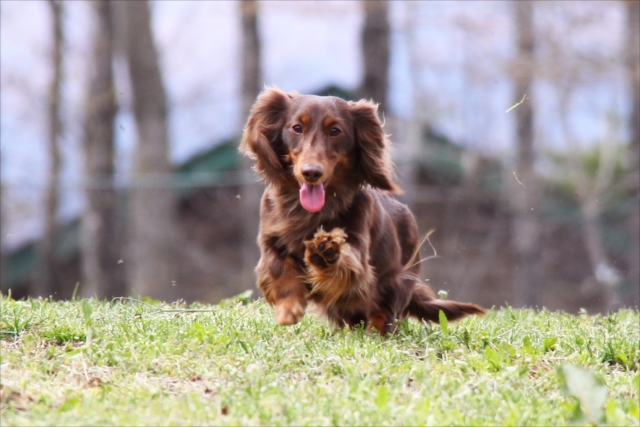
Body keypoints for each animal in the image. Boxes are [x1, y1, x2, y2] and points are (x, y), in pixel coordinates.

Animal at [240, 87, 484, 334]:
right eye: (297, 128)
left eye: (335, 131)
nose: (311, 173)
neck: (309, 211)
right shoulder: (271, 240)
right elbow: (278, 269)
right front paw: (288, 309)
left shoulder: (358, 250)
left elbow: (348, 264)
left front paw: (326, 251)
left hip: (395, 283)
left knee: (383, 312)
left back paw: (376, 332)